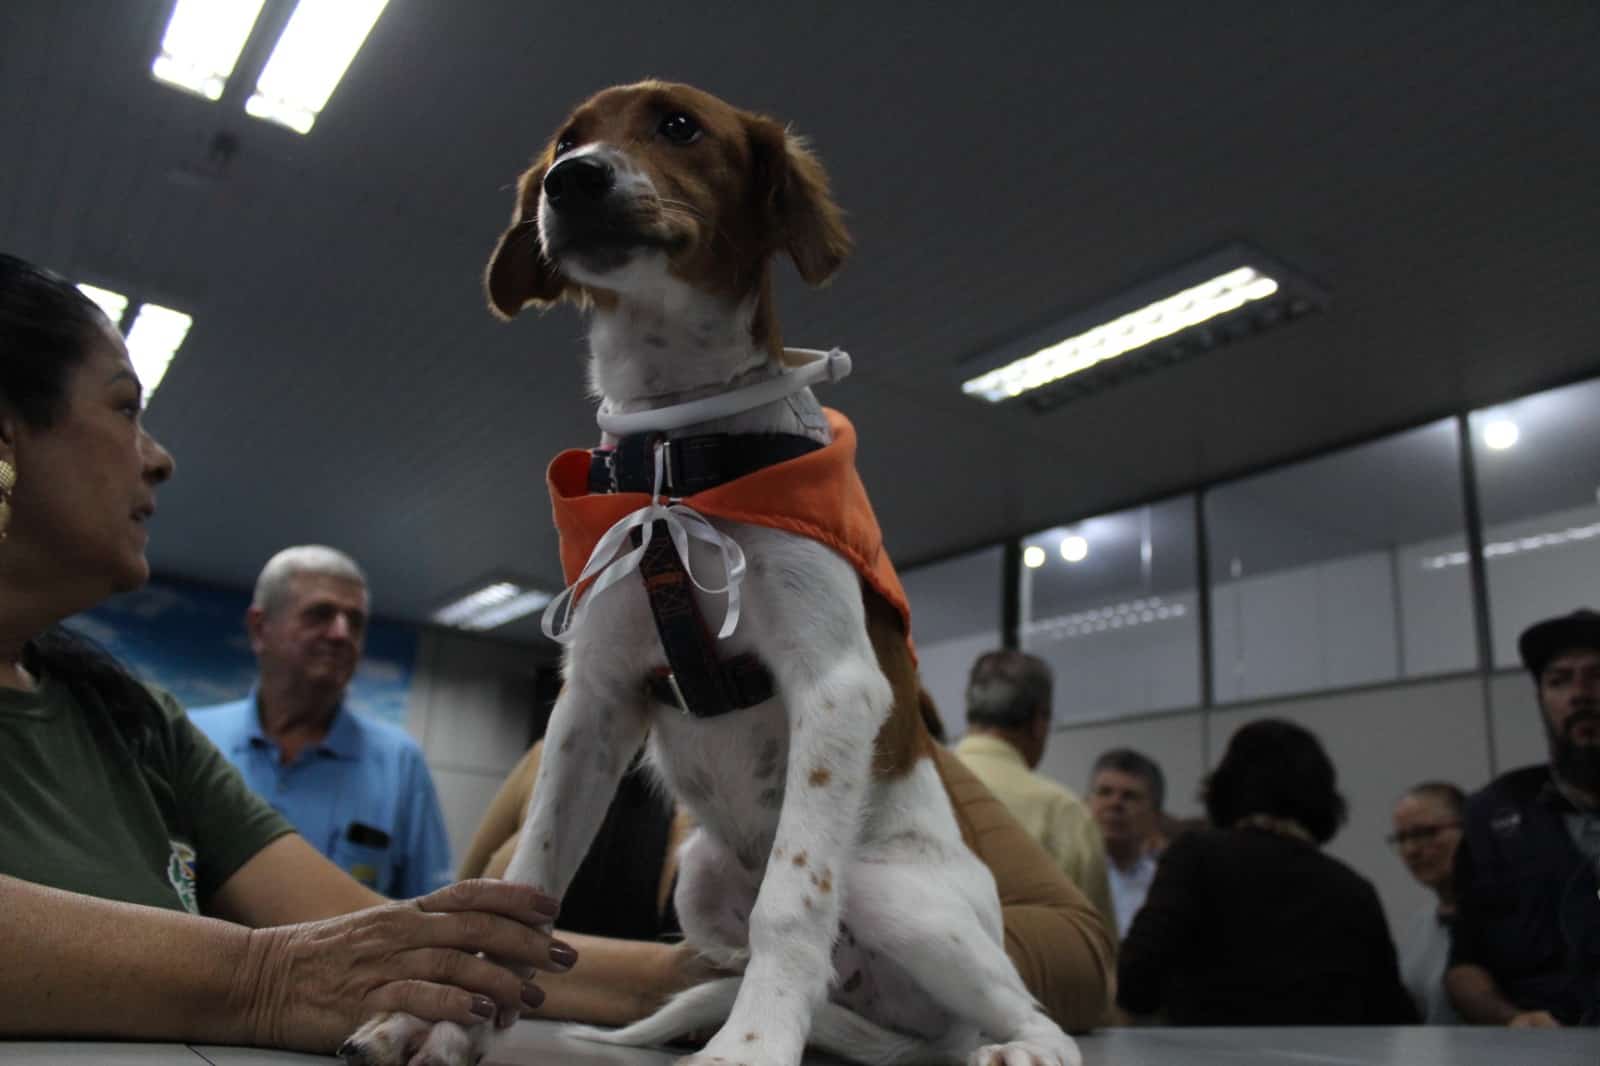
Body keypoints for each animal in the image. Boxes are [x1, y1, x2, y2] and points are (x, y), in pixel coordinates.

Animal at [344, 80, 1081, 1062]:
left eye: (680, 126)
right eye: (565, 143)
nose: (571, 183)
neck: (676, 451)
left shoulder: (835, 686)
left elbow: (793, 905)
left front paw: (753, 1045)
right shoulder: (595, 701)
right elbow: (528, 887)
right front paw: (440, 1021)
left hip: (892, 896)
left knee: (1020, 1009)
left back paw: (1018, 1046)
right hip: (697, 874)